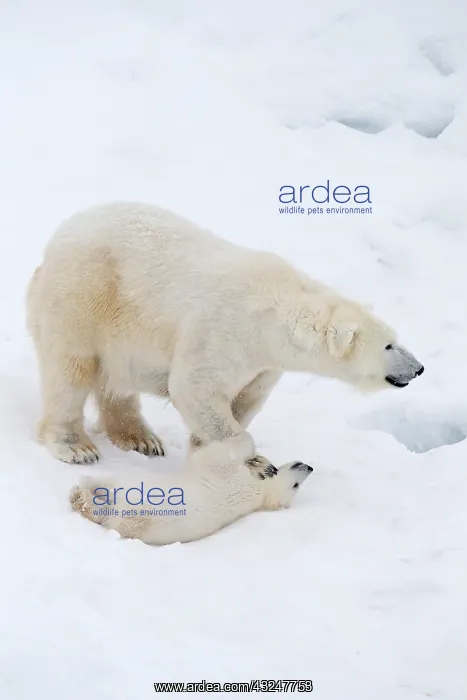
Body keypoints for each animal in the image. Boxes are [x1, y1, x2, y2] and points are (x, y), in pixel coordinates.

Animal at [26, 201, 424, 466]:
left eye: (397, 337)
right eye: (389, 345)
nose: (418, 368)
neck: (273, 313)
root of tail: (52, 245)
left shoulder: (264, 364)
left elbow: (245, 400)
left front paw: (210, 455)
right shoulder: (224, 331)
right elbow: (194, 388)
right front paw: (254, 461)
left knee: (116, 382)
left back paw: (141, 439)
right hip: (85, 295)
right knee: (70, 370)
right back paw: (76, 447)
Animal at [69, 438, 314, 545]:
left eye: (295, 486)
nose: (309, 467)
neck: (260, 494)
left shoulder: (231, 476)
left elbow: (216, 454)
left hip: (137, 501)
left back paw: (81, 494)